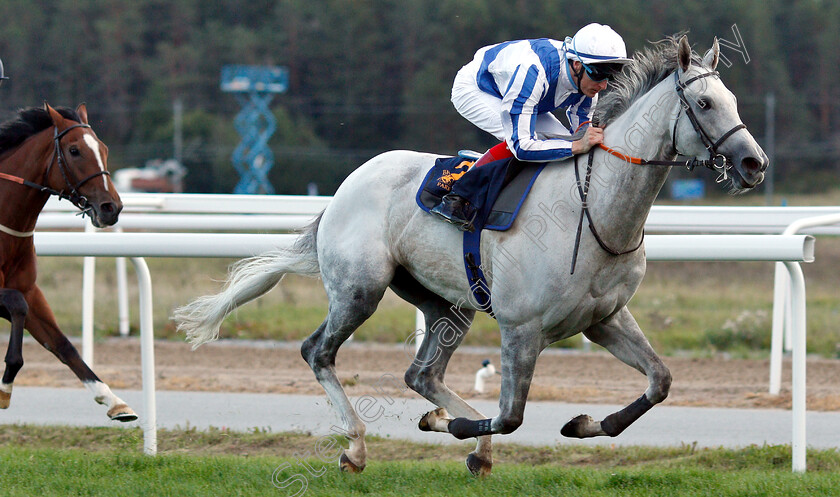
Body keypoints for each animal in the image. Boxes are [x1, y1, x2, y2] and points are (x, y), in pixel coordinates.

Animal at [0, 102, 135, 420]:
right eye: (74, 151)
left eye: (103, 148)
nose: (111, 208)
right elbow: (17, 305)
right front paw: (6, 383)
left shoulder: (31, 291)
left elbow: (62, 344)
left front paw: (113, 400)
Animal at [176, 36, 768, 474]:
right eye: (705, 104)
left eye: (735, 102)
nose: (754, 164)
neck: (596, 208)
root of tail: (343, 189)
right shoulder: (521, 328)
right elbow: (510, 416)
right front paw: (449, 427)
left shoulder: (605, 318)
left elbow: (660, 381)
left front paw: (582, 425)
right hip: (360, 289)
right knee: (317, 352)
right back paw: (357, 447)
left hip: (448, 305)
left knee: (421, 375)